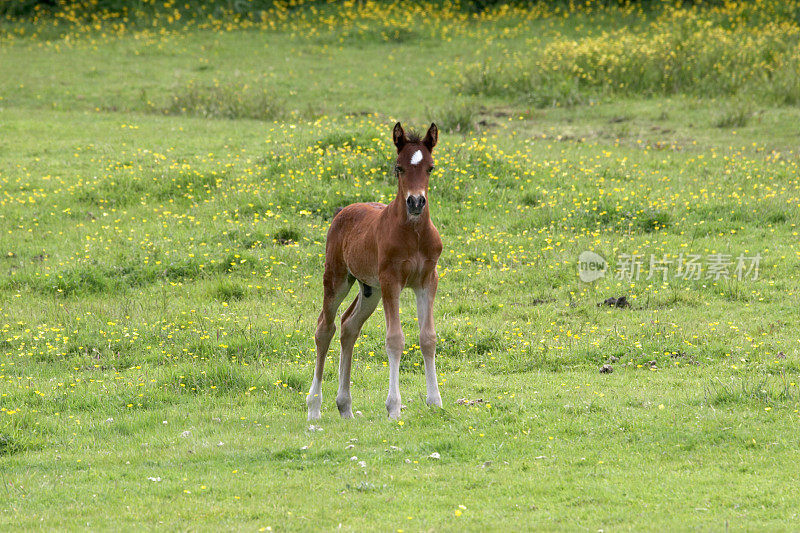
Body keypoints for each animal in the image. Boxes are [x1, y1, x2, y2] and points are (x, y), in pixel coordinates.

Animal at [306, 122, 444, 418]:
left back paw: (345, 407)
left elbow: (428, 337)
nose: (416, 202)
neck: (414, 234)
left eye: (430, 167)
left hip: (370, 289)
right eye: (398, 167)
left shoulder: (427, 280)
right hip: (337, 278)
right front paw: (394, 408)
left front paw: (435, 401)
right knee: (325, 328)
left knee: (348, 326)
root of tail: (342, 211)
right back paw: (314, 407)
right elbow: (395, 339)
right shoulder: (391, 280)